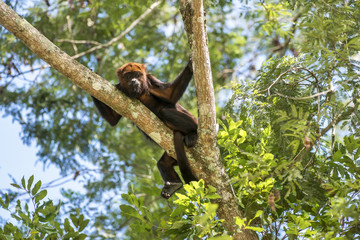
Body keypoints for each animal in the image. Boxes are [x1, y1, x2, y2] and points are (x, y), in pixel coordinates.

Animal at [92, 61, 197, 199]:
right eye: (128, 76)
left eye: (137, 74)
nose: (134, 80)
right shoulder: (119, 88)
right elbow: (112, 119)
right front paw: (93, 74)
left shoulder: (150, 79)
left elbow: (170, 95)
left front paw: (190, 65)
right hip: (172, 153)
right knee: (163, 163)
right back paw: (174, 184)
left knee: (166, 111)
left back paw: (193, 133)